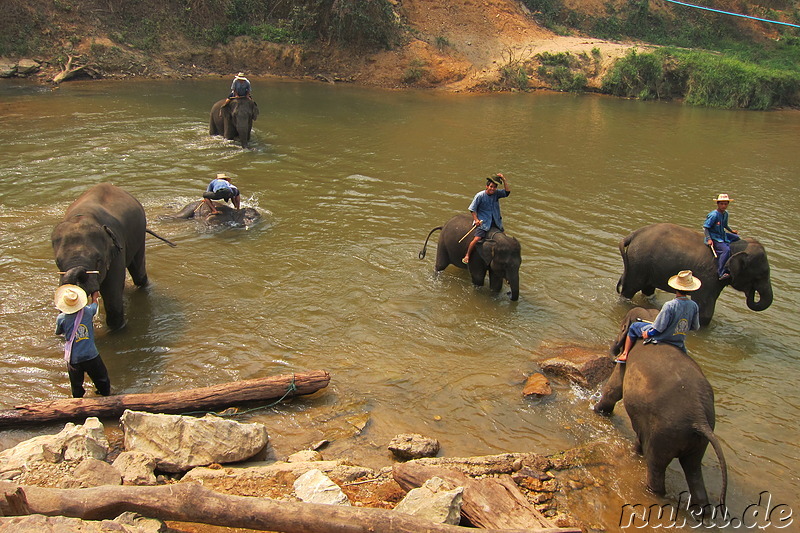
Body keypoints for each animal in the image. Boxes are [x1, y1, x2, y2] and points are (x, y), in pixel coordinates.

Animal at [52, 184, 175, 332]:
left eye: (98, 260)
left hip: (139, 234)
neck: (83, 216)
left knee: (139, 274)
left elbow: (112, 292)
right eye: (58, 262)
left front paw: (116, 329)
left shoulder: (117, 250)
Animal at [592, 308, 728, 512]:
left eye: (622, 327)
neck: (649, 317)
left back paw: (650, 491)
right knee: (693, 469)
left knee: (656, 465)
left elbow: (614, 390)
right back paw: (700, 510)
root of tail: (699, 419)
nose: (613, 349)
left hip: (664, 434)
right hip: (698, 441)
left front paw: (595, 410)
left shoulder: (626, 360)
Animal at [616, 220, 772, 324]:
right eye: (760, 275)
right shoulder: (708, 277)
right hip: (638, 262)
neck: (733, 247)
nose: (750, 291)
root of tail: (632, 235)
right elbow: (705, 312)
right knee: (630, 289)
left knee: (647, 290)